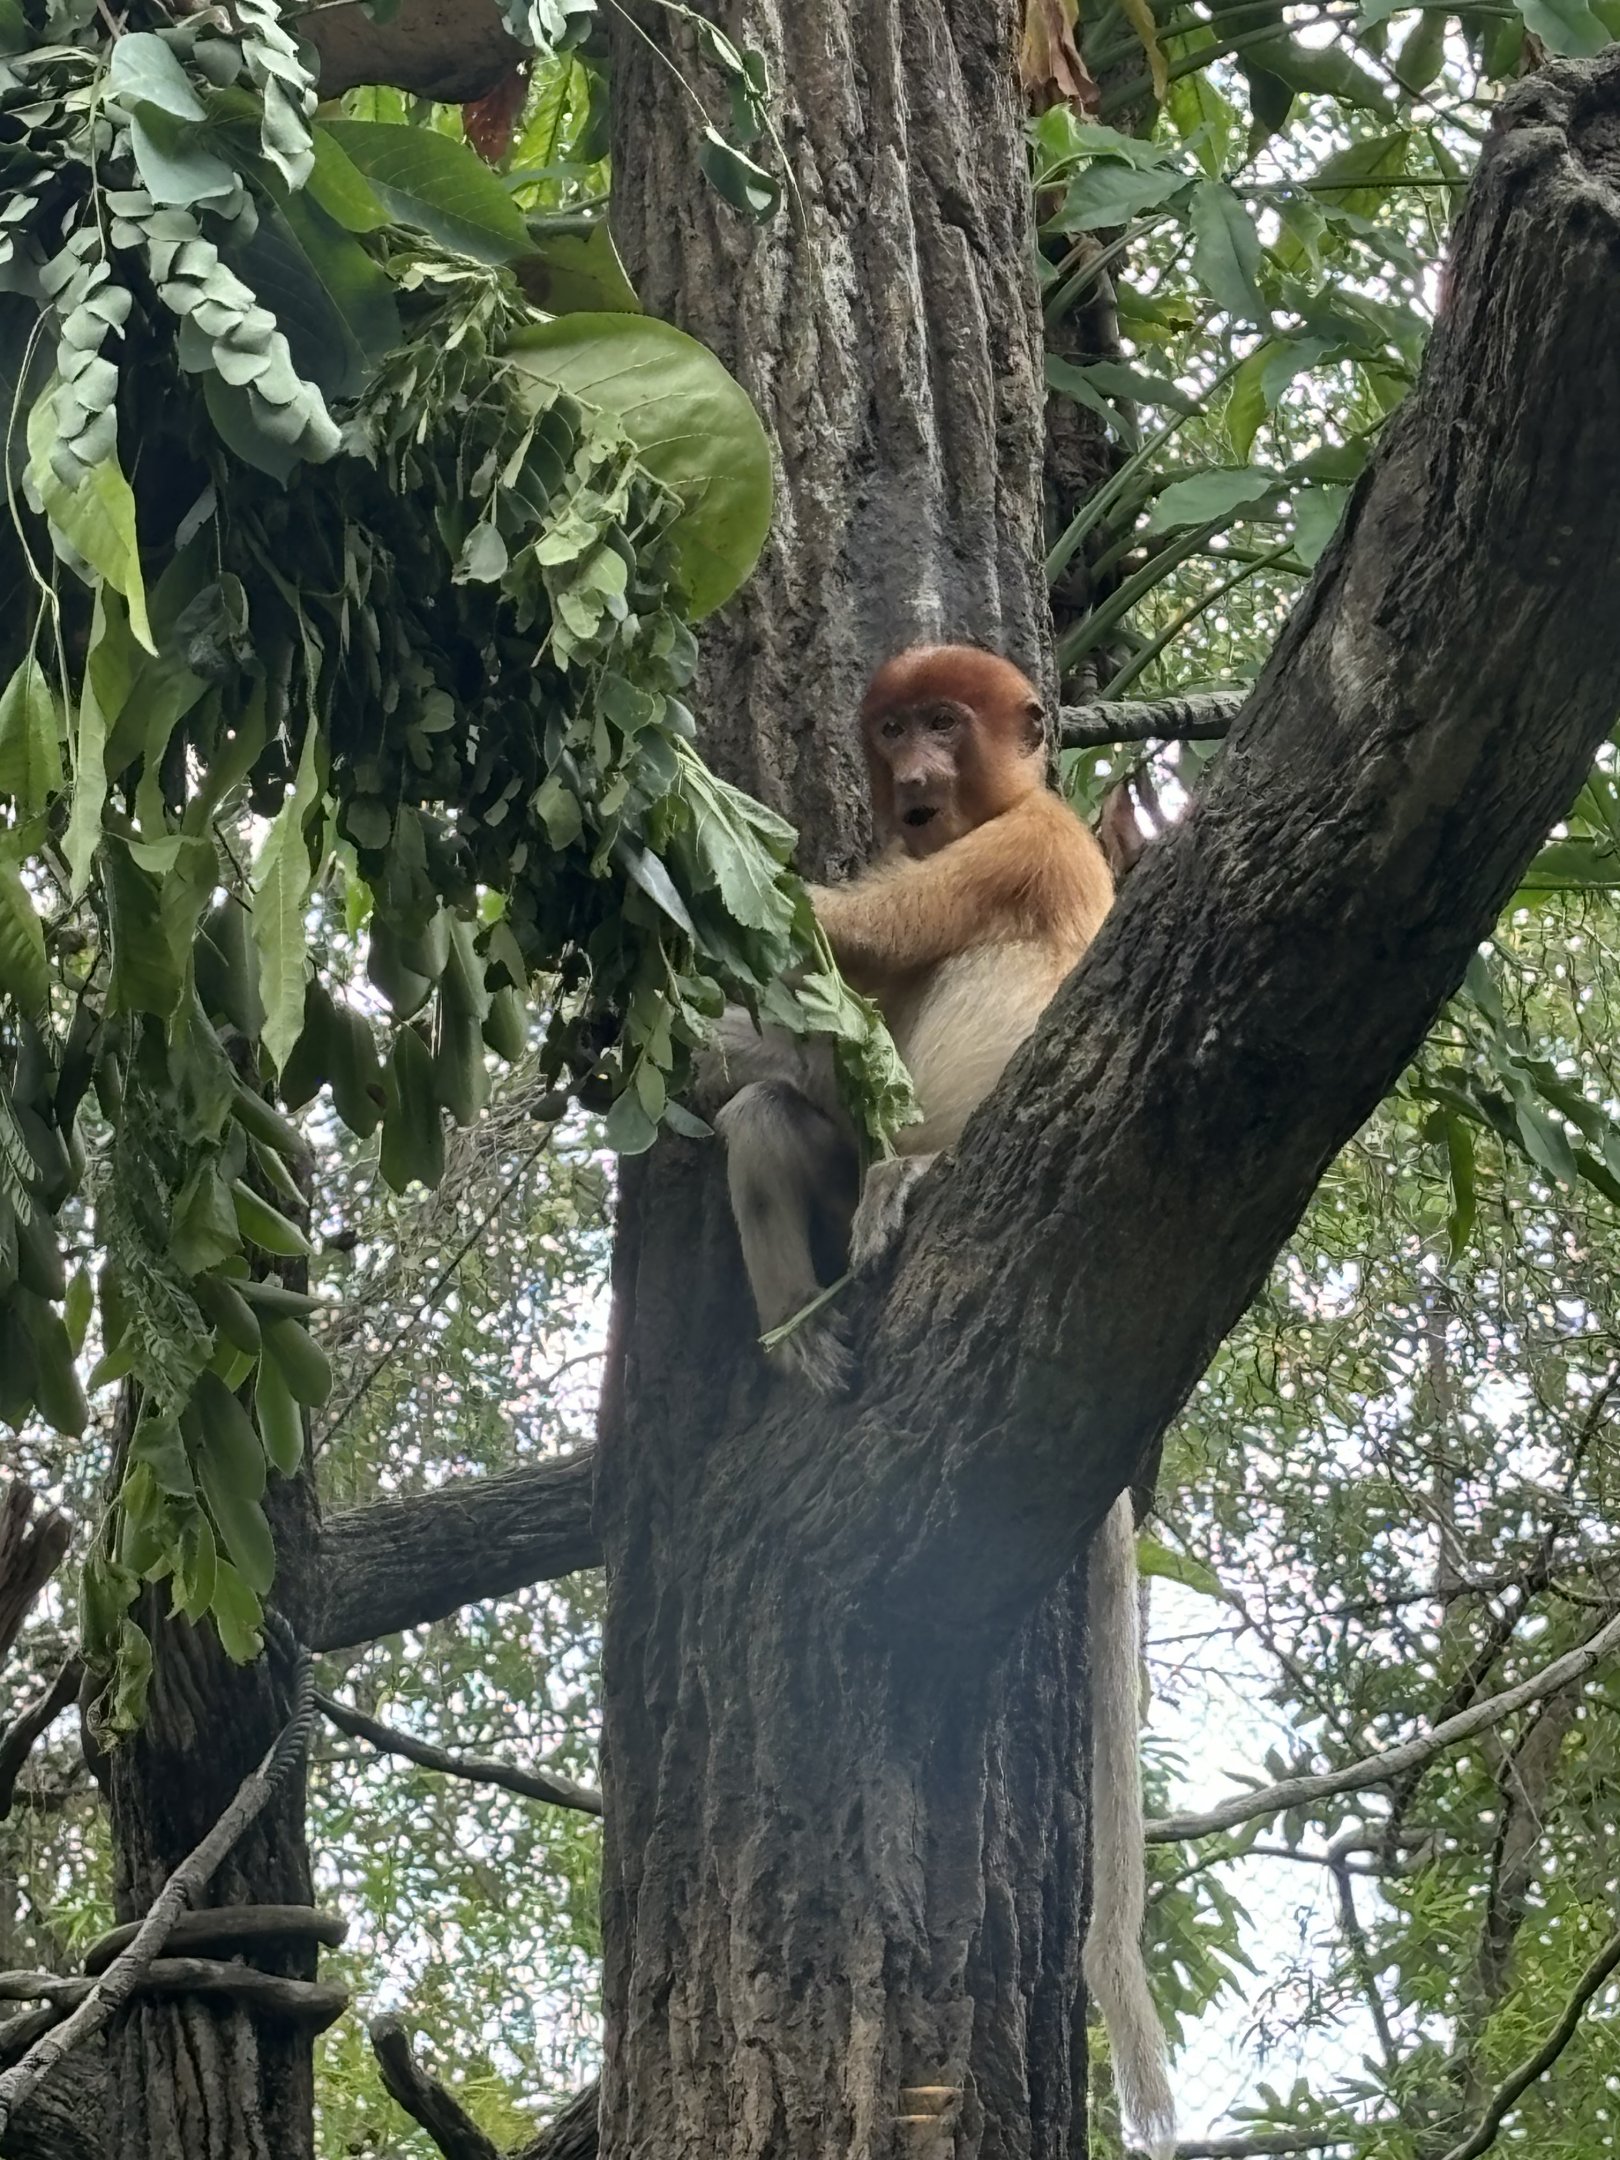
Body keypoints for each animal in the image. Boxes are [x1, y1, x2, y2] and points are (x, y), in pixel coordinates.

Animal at [692, 644, 1175, 2156]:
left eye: (946, 724)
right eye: (895, 725)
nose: (909, 774)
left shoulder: (1025, 845)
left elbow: (855, 934)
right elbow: (796, 1044)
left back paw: (918, 1192)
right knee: (775, 1122)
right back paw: (809, 1340)